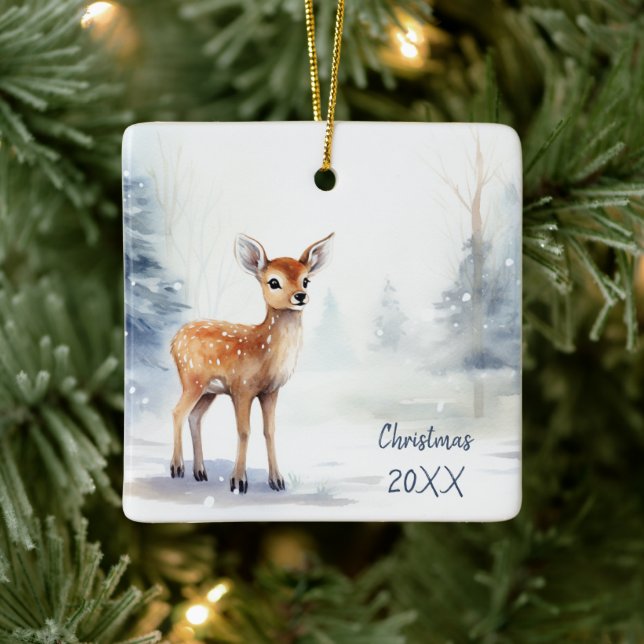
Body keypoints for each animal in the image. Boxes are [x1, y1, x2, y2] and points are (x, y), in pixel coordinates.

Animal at [169, 233, 334, 494]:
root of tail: (175, 340)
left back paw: (200, 472)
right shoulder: (242, 387)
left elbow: (270, 431)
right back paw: (177, 468)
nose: (300, 296)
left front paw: (277, 481)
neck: (264, 352)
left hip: (209, 390)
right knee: (177, 412)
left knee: (194, 417)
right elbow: (244, 431)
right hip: (192, 379)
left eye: (306, 280)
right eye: (274, 282)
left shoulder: (271, 391)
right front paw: (238, 482)